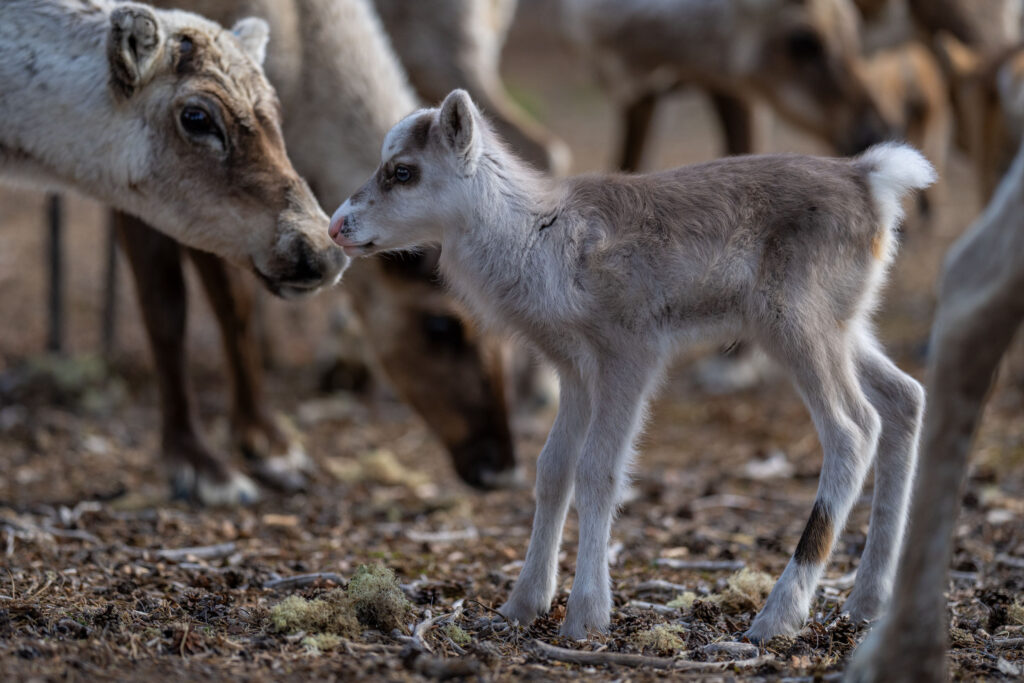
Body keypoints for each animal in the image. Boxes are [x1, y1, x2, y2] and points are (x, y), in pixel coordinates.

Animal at [329, 90, 937, 643]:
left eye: (403, 171)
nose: (336, 227)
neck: (539, 239)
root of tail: (871, 179)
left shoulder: (631, 352)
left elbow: (599, 470)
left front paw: (585, 617)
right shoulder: (573, 368)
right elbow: (553, 469)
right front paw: (519, 606)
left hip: (799, 326)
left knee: (853, 429)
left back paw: (777, 617)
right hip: (840, 324)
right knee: (904, 397)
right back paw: (865, 602)